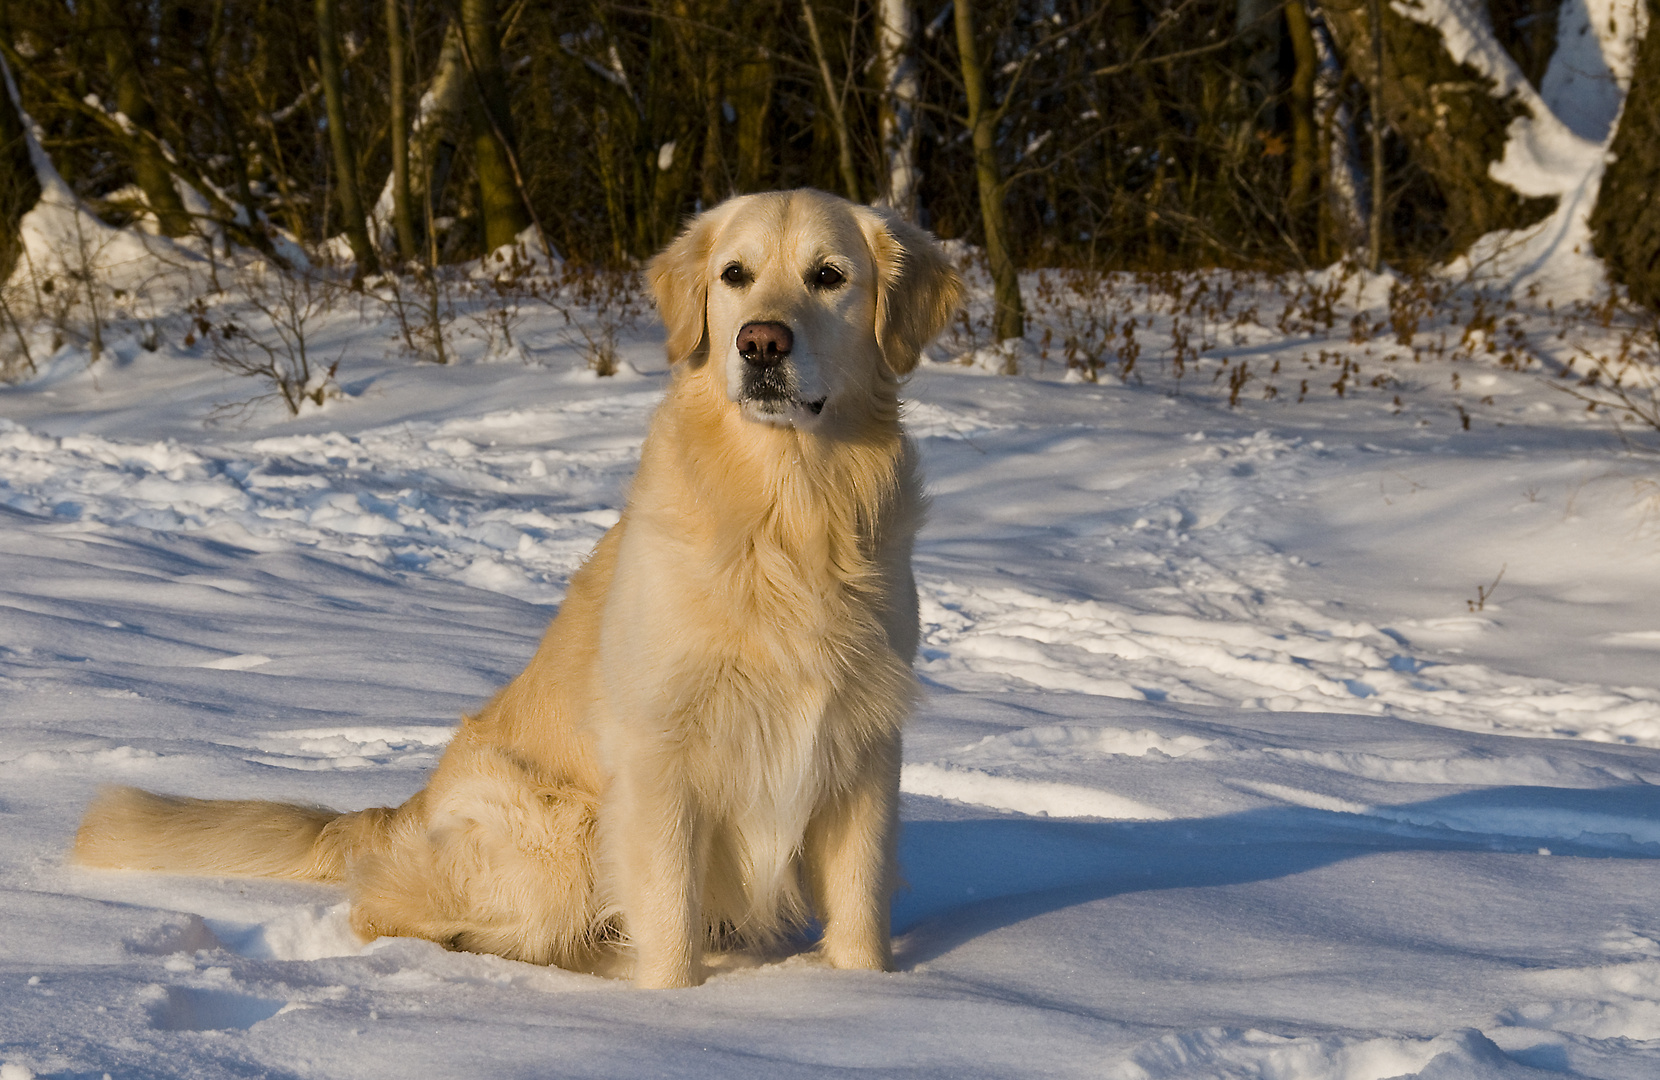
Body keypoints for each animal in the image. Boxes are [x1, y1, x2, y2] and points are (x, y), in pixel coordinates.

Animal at [74, 188, 962, 988]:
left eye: (828, 275)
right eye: (735, 275)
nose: (762, 343)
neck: (788, 511)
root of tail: (410, 807)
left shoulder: (861, 747)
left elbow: (859, 912)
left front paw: (865, 993)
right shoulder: (660, 757)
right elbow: (669, 920)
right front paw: (675, 1010)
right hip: (562, 828)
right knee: (389, 905)